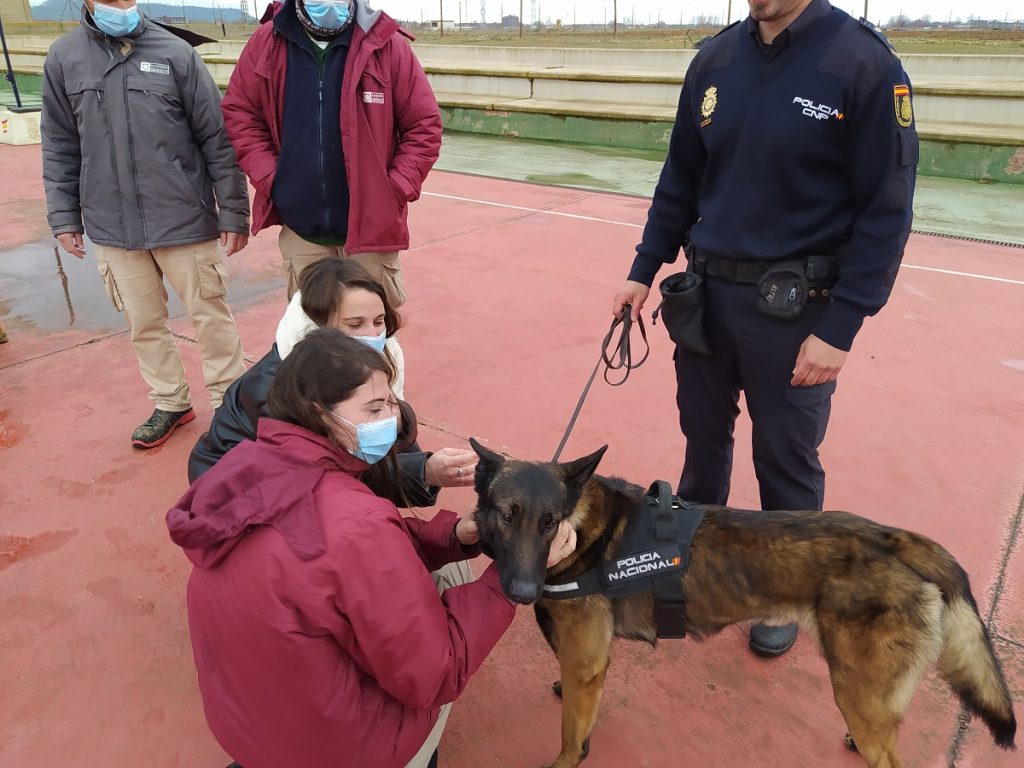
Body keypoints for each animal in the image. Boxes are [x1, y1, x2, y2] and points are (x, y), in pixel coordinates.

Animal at [468, 438, 1015, 768]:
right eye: (507, 515)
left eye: (550, 523)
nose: (520, 592)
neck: (585, 527)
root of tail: (894, 538)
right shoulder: (589, 668)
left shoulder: (585, 665)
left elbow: (567, 740)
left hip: (857, 693)